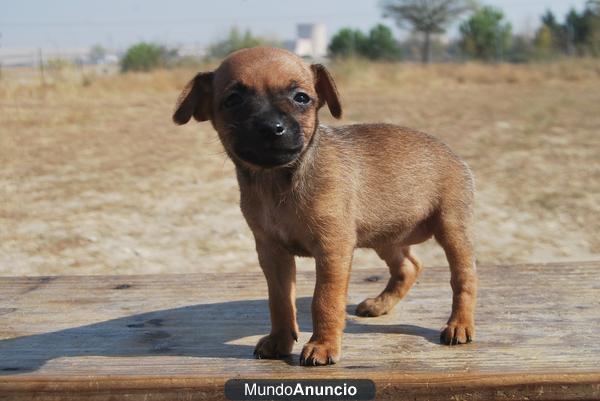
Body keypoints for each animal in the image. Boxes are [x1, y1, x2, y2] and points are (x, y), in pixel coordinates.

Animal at [173, 47, 478, 366]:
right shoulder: (273, 254)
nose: (272, 128)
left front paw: (322, 345)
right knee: (409, 266)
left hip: (451, 231)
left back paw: (459, 325)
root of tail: (451, 152)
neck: (278, 182)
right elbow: (280, 302)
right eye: (233, 100)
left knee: (463, 279)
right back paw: (380, 305)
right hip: (385, 237)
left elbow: (325, 300)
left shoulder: (332, 251)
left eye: (301, 98)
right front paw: (280, 340)